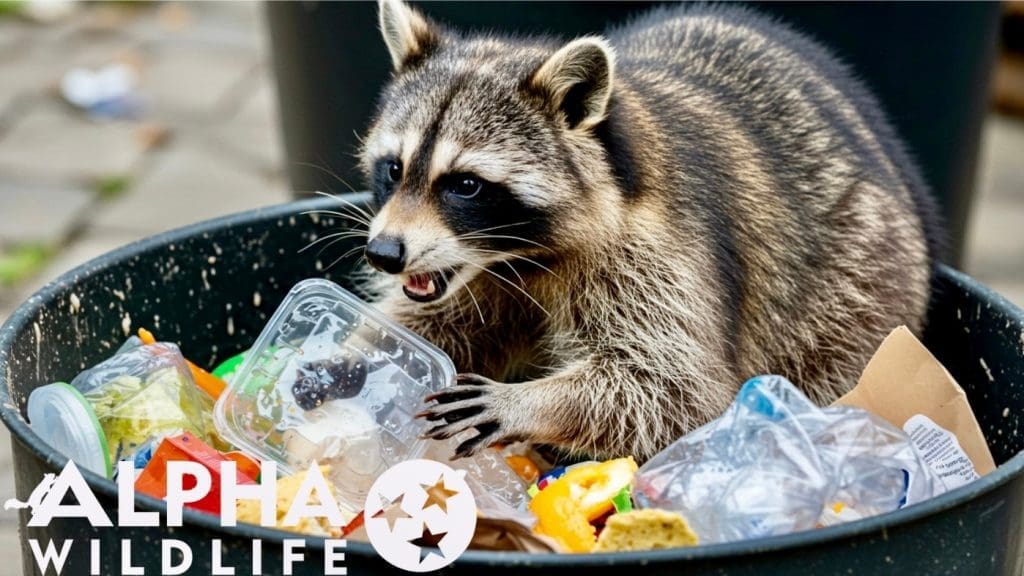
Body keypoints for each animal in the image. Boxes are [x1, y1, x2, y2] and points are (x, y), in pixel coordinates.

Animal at [352, 0, 942, 461]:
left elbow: (673, 387)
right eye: (394, 169)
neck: (522, 256)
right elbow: (439, 323)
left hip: (858, 289)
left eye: (466, 185)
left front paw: (531, 403)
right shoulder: (487, 280)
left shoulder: (657, 252)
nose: (384, 253)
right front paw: (352, 355)